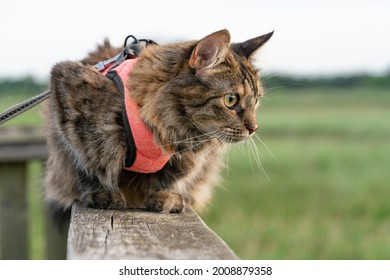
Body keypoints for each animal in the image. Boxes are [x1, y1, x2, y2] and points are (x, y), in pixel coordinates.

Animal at [42, 29, 272, 217]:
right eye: (231, 100)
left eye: (256, 101)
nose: (254, 128)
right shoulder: (68, 94)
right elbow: (87, 163)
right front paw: (101, 193)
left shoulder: (183, 158)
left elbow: (165, 179)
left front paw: (165, 197)